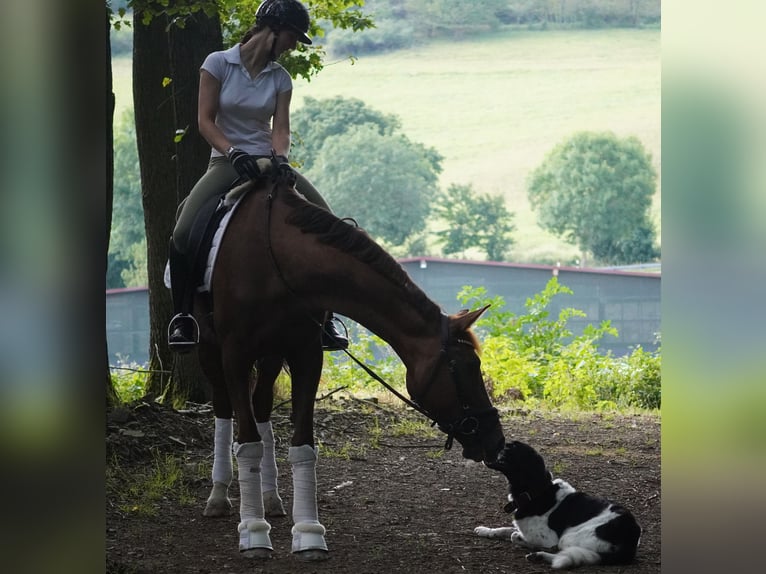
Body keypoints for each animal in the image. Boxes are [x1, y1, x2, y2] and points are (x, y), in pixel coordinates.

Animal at [194, 166, 504, 564]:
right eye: (465, 367)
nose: (495, 439)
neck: (278, 260)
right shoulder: (235, 355)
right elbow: (246, 442)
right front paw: (253, 533)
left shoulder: (305, 355)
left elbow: (303, 446)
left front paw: (308, 533)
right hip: (209, 349)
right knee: (223, 409)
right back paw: (219, 495)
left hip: (272, 356)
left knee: (261, 408)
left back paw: (271, 497)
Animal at [476, 444, 644, 568]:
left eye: (511, 447)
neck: (537, 492)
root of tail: (631, 532)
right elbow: (504, 529)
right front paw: (485, 530)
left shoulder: (548, 537)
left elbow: (514, 536)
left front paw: (522, 540)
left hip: (568, 537)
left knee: (560, 550)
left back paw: (539, 554)